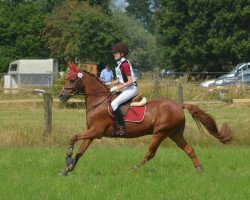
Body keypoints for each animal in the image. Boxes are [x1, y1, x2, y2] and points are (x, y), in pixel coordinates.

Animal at [58, 64, 232, 175]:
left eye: (72, 80)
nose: (61, 96)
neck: (98, 101)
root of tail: (179, 105)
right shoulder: (92, 133)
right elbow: (81, 151)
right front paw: (68, 169)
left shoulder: (96, 131)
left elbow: (73, 137)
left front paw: (67, 157)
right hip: (175, 133)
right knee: (189, 149)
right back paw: (199, 169)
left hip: (160, 132)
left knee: (150, 153)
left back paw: (132, 170)